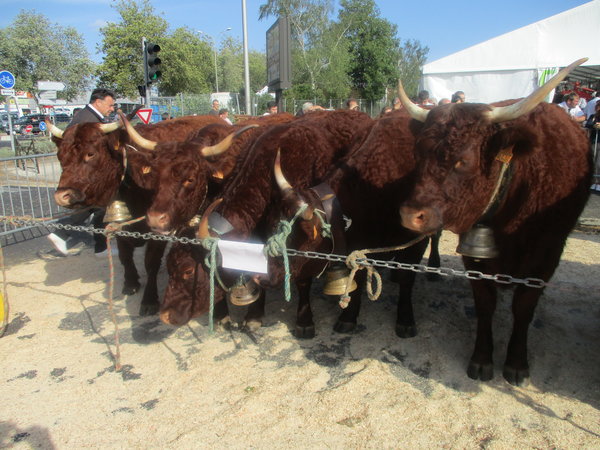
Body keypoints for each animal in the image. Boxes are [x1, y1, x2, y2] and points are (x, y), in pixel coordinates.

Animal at [398, 57, 592, 386]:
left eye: (463, 160)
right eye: (418, 153)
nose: (411, 215)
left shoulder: (548, 252)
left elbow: (524, 306)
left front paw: (516, 363)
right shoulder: (474, 256)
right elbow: (485, 304)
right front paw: (481, 359)